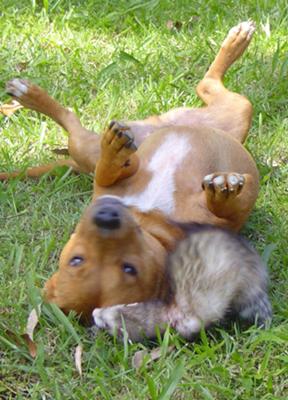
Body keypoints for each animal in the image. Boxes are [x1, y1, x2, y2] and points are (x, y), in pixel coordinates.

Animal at [2, 21, 258, 322]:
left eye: (76, 259)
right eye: (129, 268)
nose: (106, 216)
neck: (151, 222)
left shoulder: (108, 186)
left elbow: (106, 172)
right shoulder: (227, 222)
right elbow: (230, 207)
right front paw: (223, 191)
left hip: (230, 113)